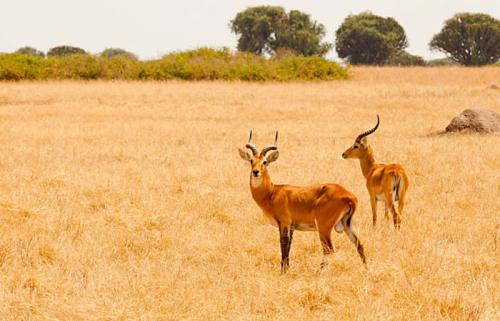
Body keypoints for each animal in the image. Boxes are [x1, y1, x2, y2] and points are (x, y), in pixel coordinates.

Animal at [236, 130, 366, 272]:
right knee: (359, 244)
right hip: (347, 224)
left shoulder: (284, 223)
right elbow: (288, 247)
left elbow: (283, 245)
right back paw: (366, 269)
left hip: (324, 228)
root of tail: (349, 196)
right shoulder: (292, 227)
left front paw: (283, 271)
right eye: (251, 160)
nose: (256, 172)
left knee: (329, 250)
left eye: (264, 162)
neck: (272, 192)